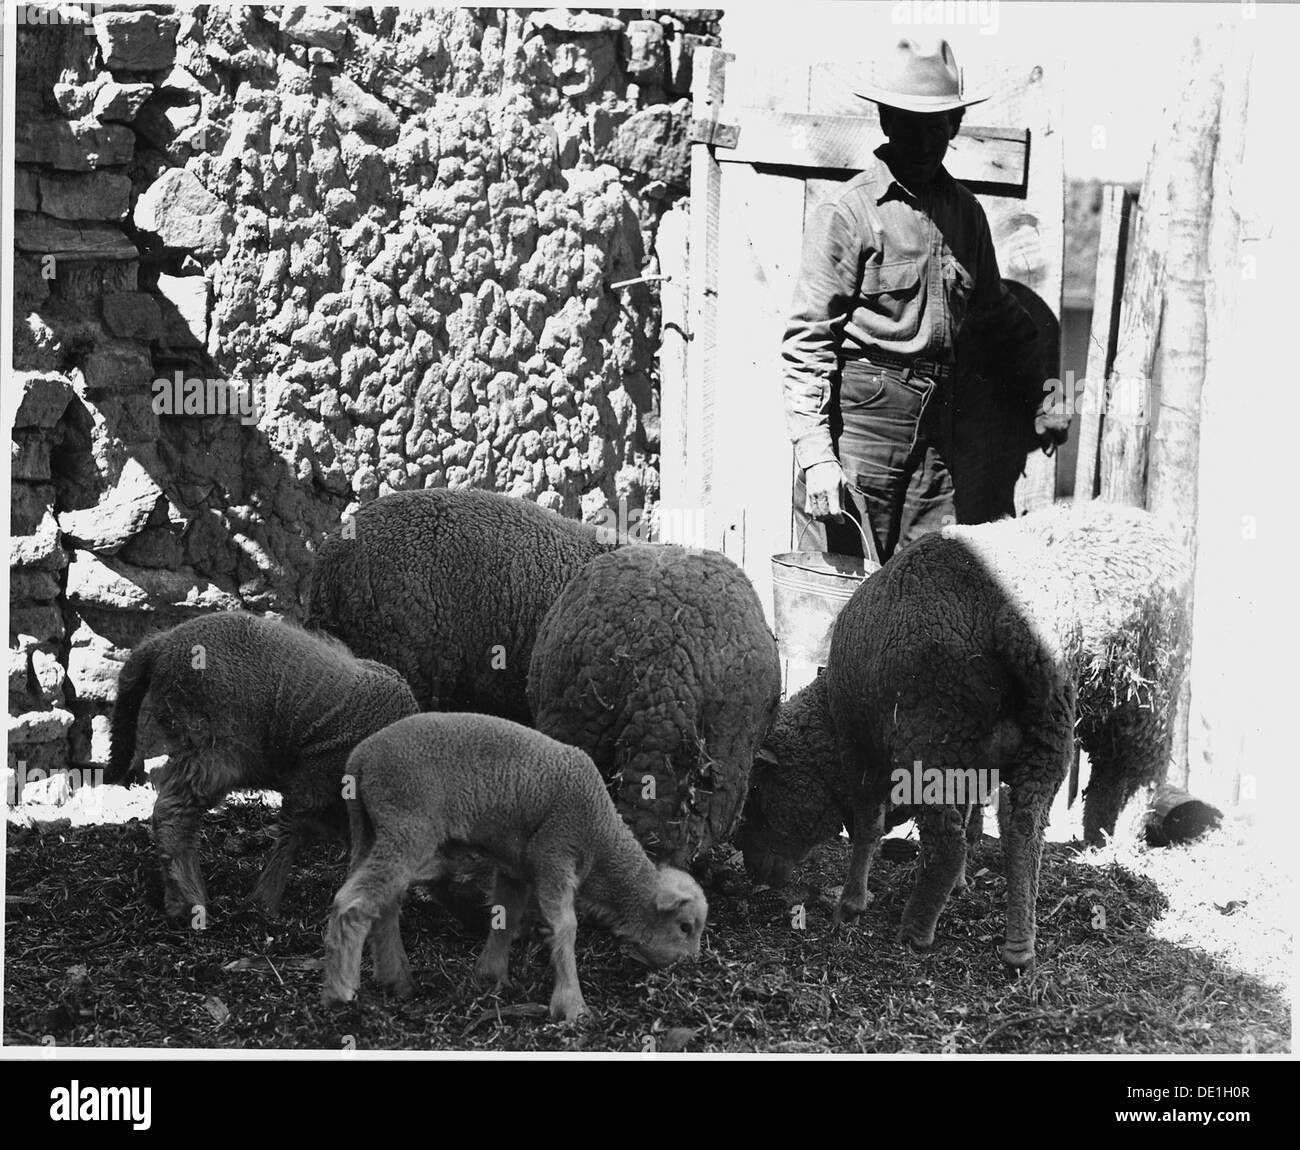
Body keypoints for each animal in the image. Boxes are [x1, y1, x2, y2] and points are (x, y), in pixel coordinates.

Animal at [109, 610, 421, 914]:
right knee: (173, 813)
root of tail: (162, 643)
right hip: (213, 748)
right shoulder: (313, 780)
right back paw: (187, 903)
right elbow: (291, 834)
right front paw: (264, 904)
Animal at [322, 712, 712, 1018]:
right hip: (408, 826)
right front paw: (572, 1006)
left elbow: (505, 917)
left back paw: (396, 979)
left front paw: (490, 976)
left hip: (374, 831)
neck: (600, 837)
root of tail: (360, 757)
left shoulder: (516, 867)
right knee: (353, 901)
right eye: (685, 927)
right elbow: (565, 927)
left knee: (385, 898)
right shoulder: (555, 852)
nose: (691, 965)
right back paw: (341, 989)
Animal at [738, 506, 1190, 966]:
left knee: (953, 841)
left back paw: (916, 931)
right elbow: (971, 819)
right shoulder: (972, 764)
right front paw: (959, 886)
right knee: (1025, 829)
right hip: (1046, 734)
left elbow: (868, 828)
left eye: (758, 791)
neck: (829, 711)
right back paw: (1019, 944)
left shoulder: (861, 754)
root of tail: (1015, 623)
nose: (749, 864)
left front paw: (852, 903)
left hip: (941, 736)